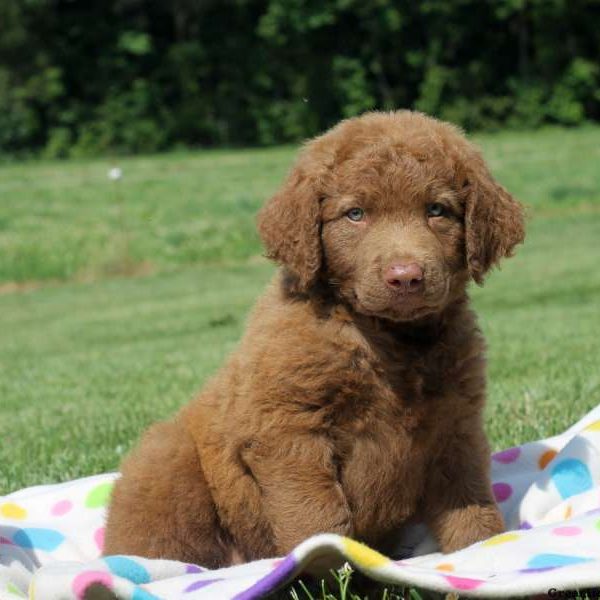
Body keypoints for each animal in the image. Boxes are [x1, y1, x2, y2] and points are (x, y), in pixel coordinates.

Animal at [103, 111, 524, 568]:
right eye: (355, 214)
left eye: (437, 210)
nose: (406, 277)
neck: (387, 341)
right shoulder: (289, 430)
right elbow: (316, 518)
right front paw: (327, 568)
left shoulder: (456, 425)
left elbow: (471, 506)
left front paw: (487, 552)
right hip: (167, 460)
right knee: (158, 544)